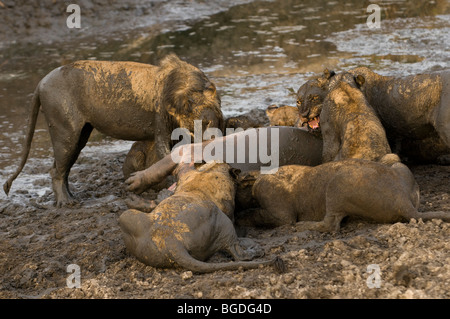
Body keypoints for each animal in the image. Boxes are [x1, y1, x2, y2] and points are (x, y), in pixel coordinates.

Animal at [1, 53, 223, 206]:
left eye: (206, 122)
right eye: (186, 109)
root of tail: (40, 83)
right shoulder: (161, 125)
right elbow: (165, 154)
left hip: (80, 135)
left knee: (63, 168)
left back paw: (72, 197)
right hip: (64, 130)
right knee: (56, 169)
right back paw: (66, 203)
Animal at [118, 162, 284, 276]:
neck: (210, 170)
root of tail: (171, 242)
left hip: (125, 216)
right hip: (217, 214)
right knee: (238, 254)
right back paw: (255, 250)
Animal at [298, 68, 448, 165]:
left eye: (314, 98)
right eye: (298, 101)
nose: (303, 114)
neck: (343, 84)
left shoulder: (329, 134)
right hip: (391, 157)